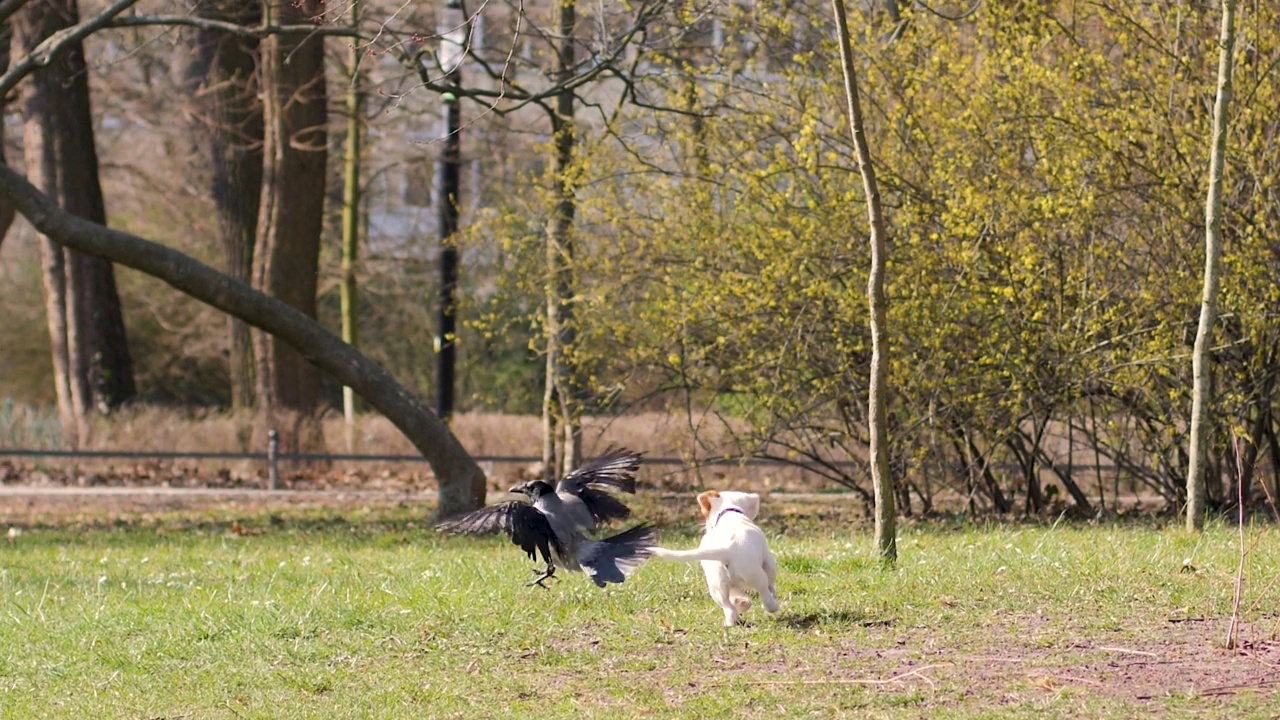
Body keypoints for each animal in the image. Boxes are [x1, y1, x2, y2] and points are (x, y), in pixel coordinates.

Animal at [650, 486, 778, 622]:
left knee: (729, 608)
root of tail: (727, 549)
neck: (729, 513)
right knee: (765, 593)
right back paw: (772, 606)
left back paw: (737, 612)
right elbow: (771, 582)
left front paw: (740, 601)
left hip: (717, 585)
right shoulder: (769, 560)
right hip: (756, 576)